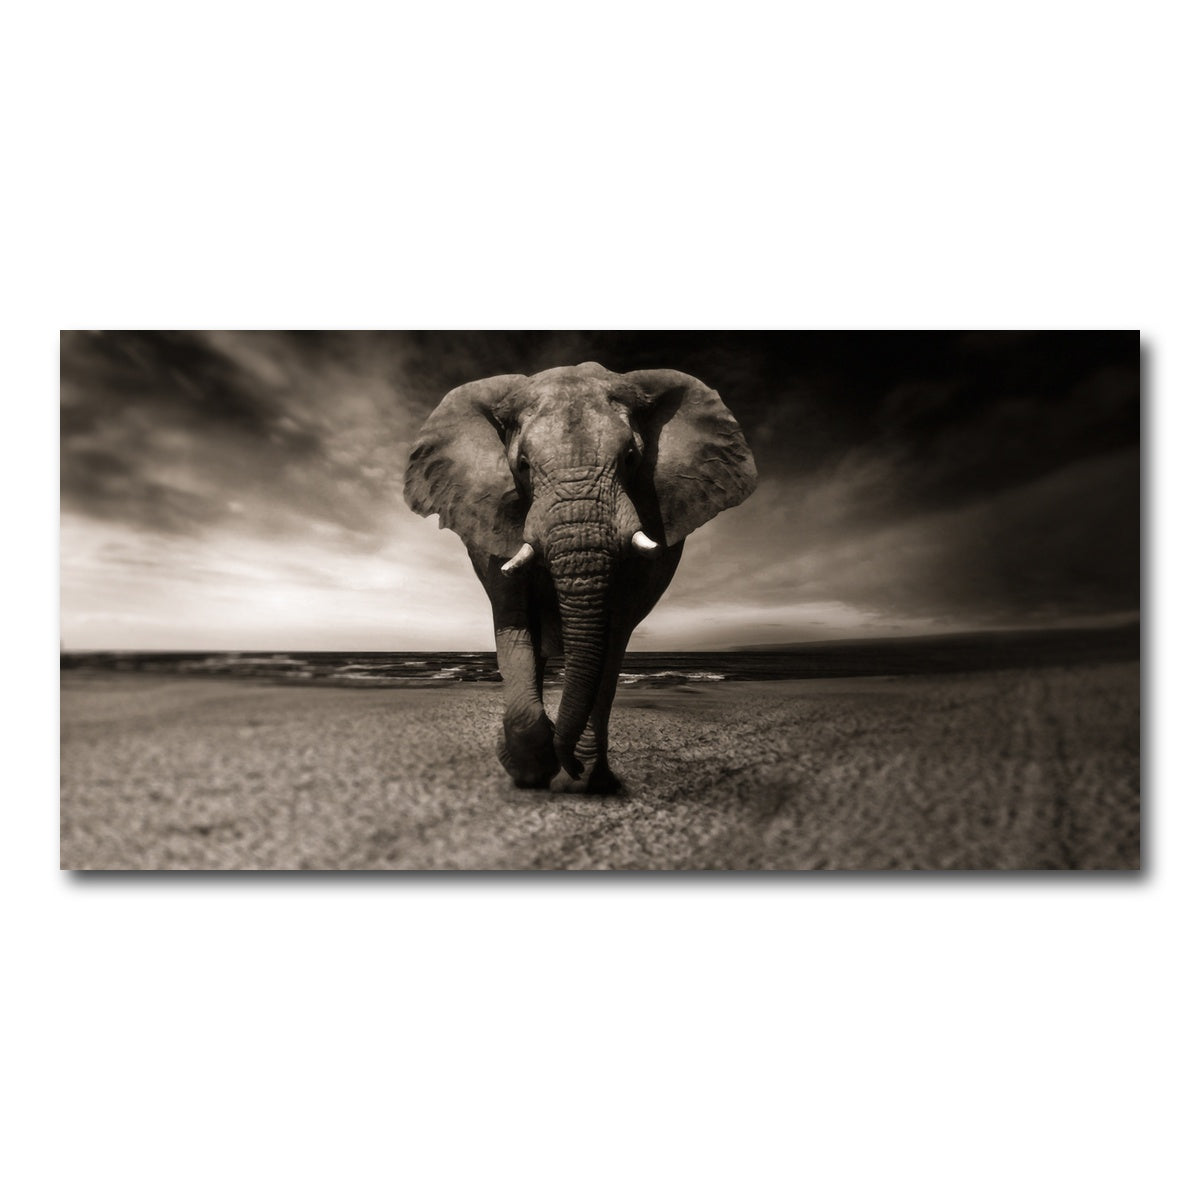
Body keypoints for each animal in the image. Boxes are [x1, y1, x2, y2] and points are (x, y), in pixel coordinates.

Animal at [403, 362, 757, 793]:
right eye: (522, 465)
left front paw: (580, 776)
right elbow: (514, 620)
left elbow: (612, 633)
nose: (567, 762)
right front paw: (531, 769)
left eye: (631, 458)